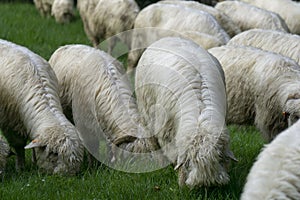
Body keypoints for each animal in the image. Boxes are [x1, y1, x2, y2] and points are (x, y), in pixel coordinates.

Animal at [0, 39, 84, 173]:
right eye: (54, 154)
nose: (67, 175)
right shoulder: (10, 123)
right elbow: (19, 146)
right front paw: (20, 168)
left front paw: (34, 162)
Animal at [135, 37, 236, 188]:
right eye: (190, 161)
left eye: (218, 157)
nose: (205, 186)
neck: (200, 114)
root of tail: (168, 37)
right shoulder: (166, 133)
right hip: (146, 112)